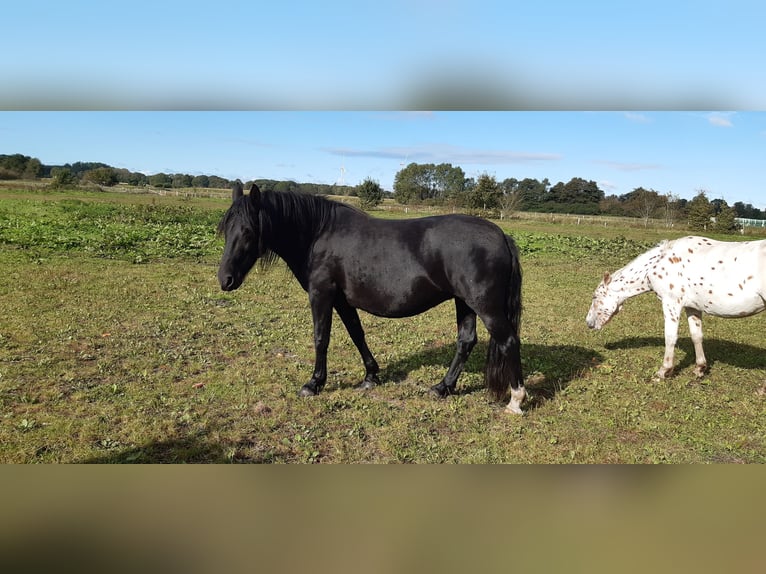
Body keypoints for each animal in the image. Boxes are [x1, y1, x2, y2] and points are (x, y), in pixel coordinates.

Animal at [216, 183, 528, 414]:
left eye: (248, 231)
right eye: (225, 229)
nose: (225, 279)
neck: (318, 234)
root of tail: (501, 235)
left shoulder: (321, 294)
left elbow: (321, 337)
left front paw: (314, 384)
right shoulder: (342, 301)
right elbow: (357, 334)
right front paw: (370, 377)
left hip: (484, 305)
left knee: (508, 340)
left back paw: (516, 400)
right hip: (464, 302)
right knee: (466, 340)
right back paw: (442, 387)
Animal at [592, 236, 764, 380]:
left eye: (594, 297)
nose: (589, 323)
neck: (659, 262)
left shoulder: (671, 303)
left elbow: (670, 337)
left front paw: (663, 372)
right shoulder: (692, 307)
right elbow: (696, 336)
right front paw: (700, 369)